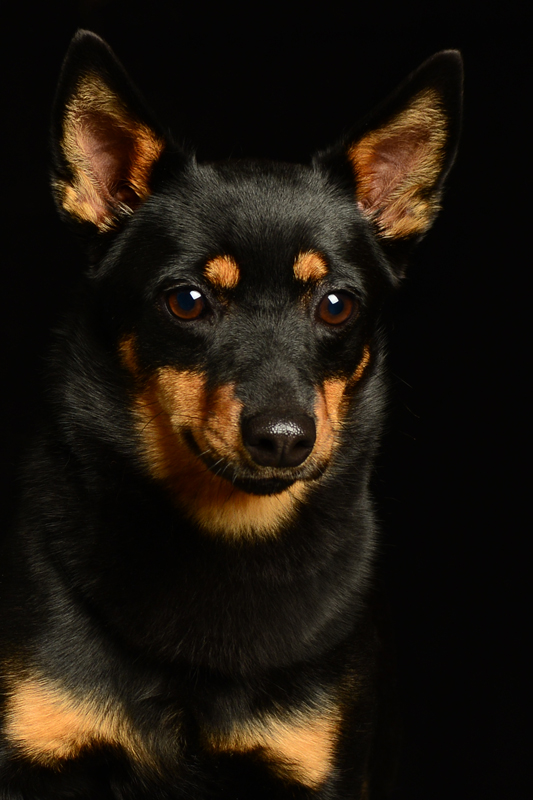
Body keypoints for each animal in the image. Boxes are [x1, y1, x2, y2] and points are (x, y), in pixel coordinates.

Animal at [0, 30, 462, 798]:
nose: (283, 439)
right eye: (187, 301)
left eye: (336, 305)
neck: (222, 536)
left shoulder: (314, 763)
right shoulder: (35, 752)